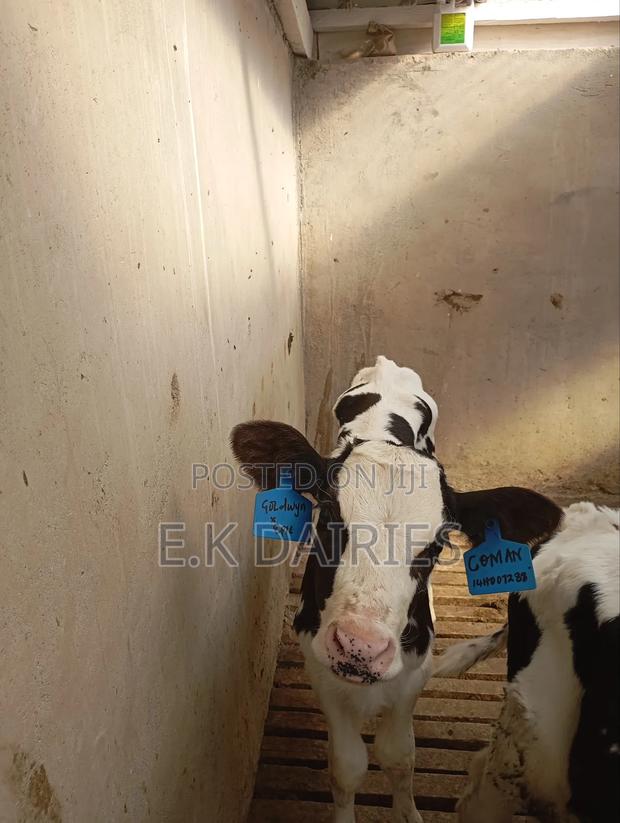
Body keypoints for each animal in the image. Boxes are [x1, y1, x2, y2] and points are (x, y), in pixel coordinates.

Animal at [231, 356, 562, 823]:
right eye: (326, 516)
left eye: (439, 542)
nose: (360, 646)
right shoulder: (321, 668)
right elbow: (348, 765)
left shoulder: (414, 671)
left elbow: (399, 756)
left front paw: (408, 811)